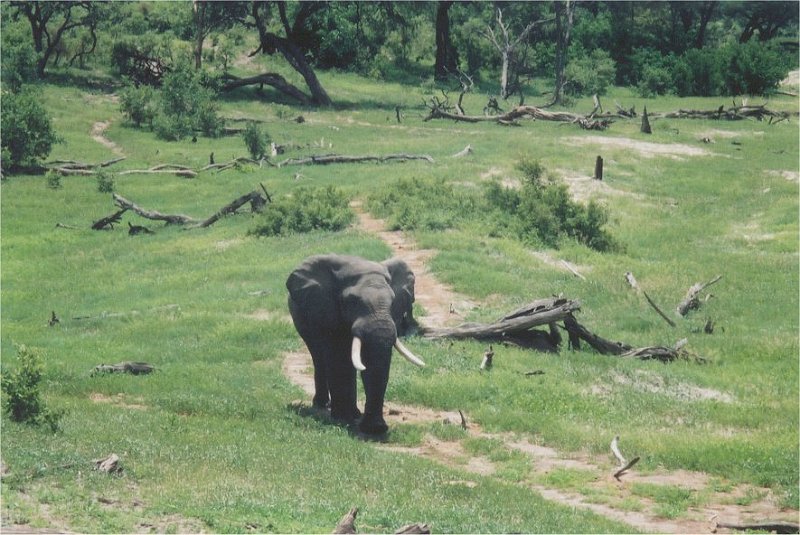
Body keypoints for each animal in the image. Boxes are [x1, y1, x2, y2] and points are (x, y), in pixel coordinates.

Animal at [286, 254, 425, 435]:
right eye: (352, 301)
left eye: (393, 301)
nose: (378, 428)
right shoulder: (327, 310)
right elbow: (337, 357)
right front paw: (343, 419)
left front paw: (369, 426)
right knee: (318, 356)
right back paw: (323, 405)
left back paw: (352, 412)